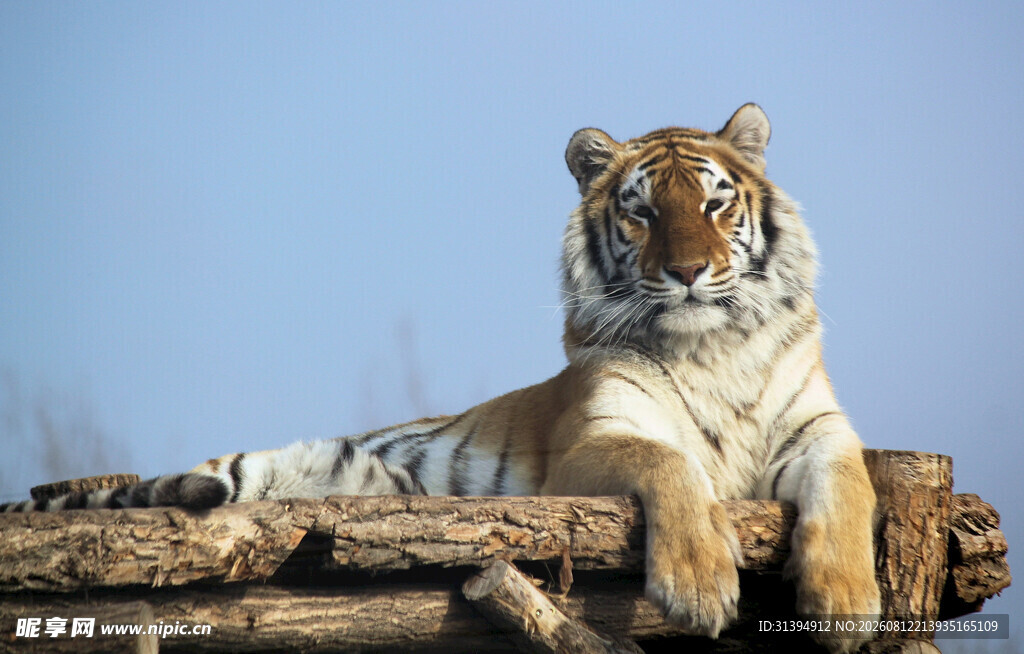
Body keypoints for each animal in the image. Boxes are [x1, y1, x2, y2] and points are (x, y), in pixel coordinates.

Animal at [3, 104, 880, 652]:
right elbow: (671, 464)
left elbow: (851, 485)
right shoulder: (593, 444)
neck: (711, 348)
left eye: (714, 203)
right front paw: (700, 588)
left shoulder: (820, 431)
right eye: (641, 213)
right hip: (248, 469)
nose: (689, 271)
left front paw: (846, 604)